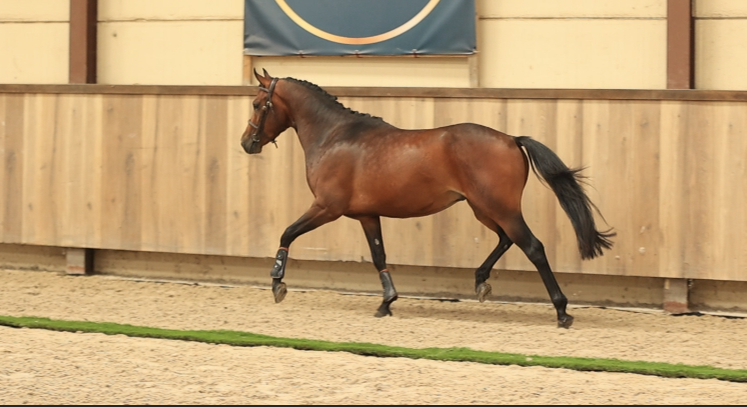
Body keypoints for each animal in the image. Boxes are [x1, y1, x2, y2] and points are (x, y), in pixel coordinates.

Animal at [241, 69, 615, 328]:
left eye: (258, 105)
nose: (247, 143)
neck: (335, 136)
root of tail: (511, 138)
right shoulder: (367, 215)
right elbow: (379, 256)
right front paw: (387, 302)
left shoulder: (326, 206)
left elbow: (288, 232)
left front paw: (277, 282)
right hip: (485, 209)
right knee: (507, 240)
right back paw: (481, 282)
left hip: (499, 208)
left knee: (533, 247)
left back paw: (562, 310)